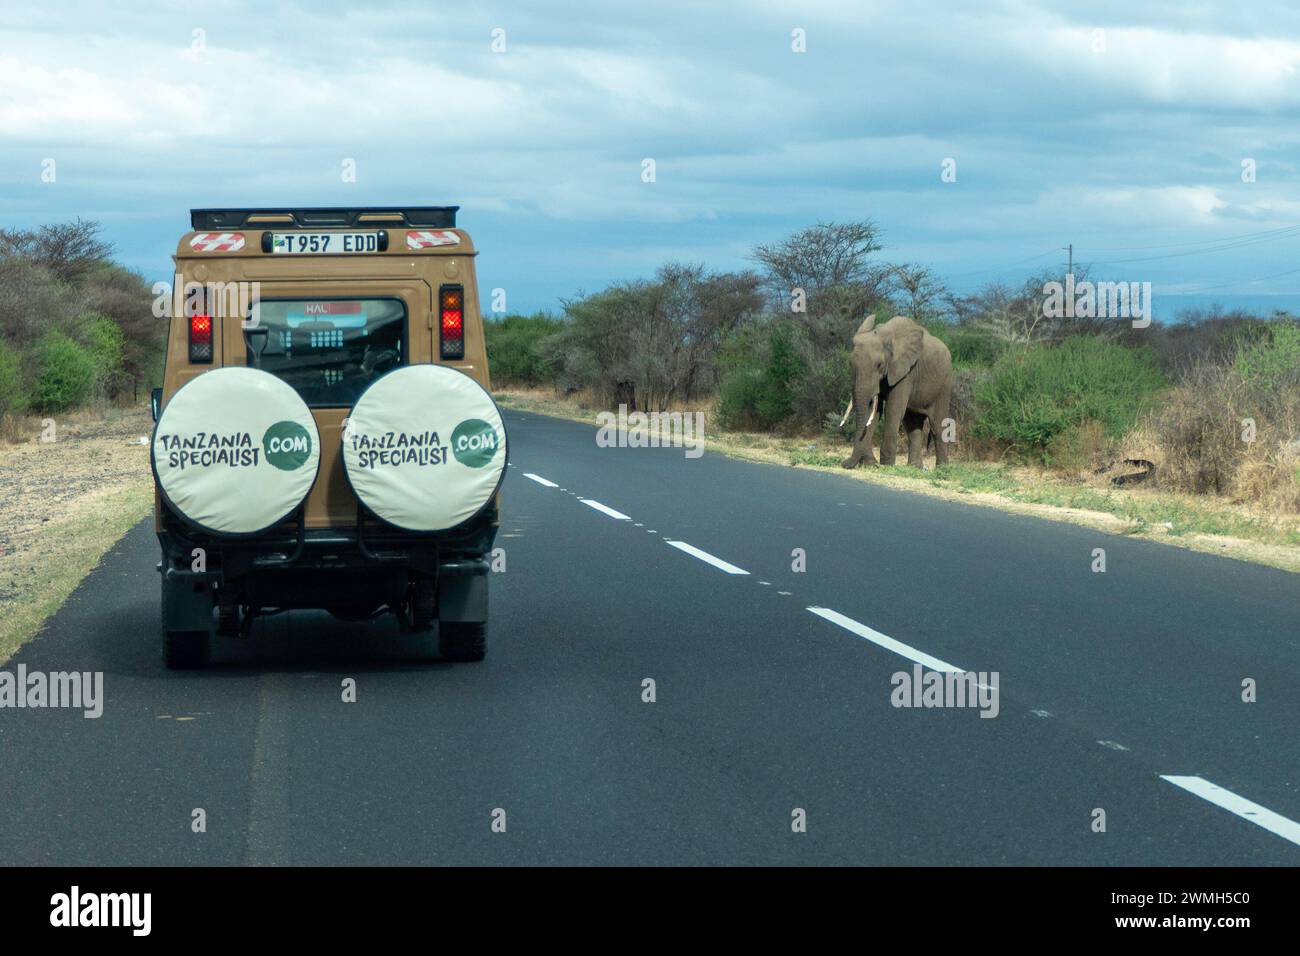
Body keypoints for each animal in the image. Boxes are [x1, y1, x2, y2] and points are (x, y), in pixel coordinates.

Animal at [837, 316, 951, 468]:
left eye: (879, 365)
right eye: (851, 364)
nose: (844, 464)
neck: (884, 334)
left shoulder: (906, 372)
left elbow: (893, 410)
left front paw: (886, 464)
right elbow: (873, 411)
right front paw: (870, 463)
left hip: (944, 384)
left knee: (938, 426)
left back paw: (942, 468)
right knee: (913, 425)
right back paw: (914, 467)